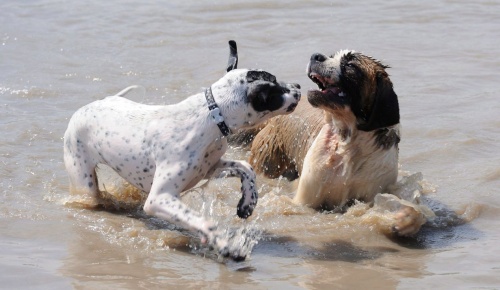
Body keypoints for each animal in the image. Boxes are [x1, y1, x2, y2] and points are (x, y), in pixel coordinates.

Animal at [65, 41, 302, 260]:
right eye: (275, 88)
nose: (298, 86)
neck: (211, 115)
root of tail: (88, 107)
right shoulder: (158, 199)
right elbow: (204, 222)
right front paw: (227, 245)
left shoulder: (210, 168)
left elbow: (246, 168)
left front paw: (247, 203)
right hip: (84, 182)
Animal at [240, 49, 424, 236]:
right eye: (331, 56)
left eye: (350, 65)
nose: (316, 55)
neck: (347, 143)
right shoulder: (306, 198)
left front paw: (404, 219)